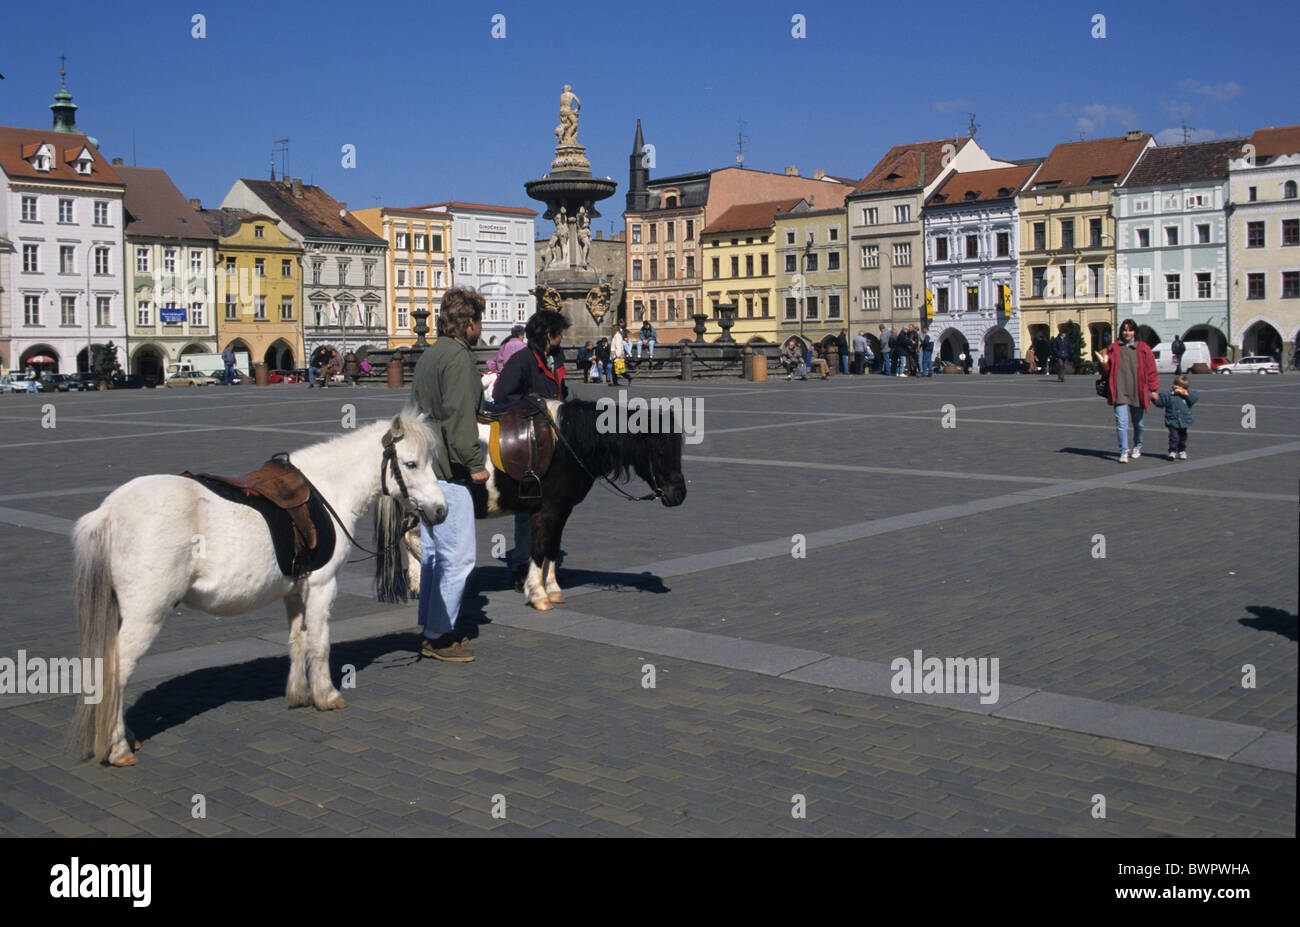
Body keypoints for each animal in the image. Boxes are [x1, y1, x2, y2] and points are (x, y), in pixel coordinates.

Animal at [71, 413, 447, 764]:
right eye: (411, 464)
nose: (441, 510)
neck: (328, 492)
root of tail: (108, 512)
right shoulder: (322, 585)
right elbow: (319, 643)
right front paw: (326, 696)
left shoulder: (295, 591)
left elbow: (297, 640)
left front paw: (299, 695)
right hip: (145, 615)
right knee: (117, 671)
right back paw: (118, 748)